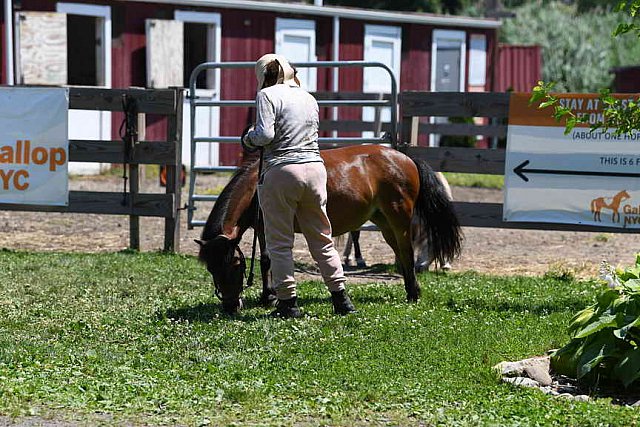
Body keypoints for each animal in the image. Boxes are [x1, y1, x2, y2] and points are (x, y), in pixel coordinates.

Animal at [195, 144, 460, 314]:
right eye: (211, 268)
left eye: (234, 265)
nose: (230, 306)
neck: (255, 188)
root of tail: (405, 158)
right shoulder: (262, 228)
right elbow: (265, 260)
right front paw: (267, 296)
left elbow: (269, 260)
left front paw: (270, 297)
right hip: (384, 222)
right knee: (401, 253)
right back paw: (409, 289)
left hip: (399, 219)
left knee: (406, 251)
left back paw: (413, 294)